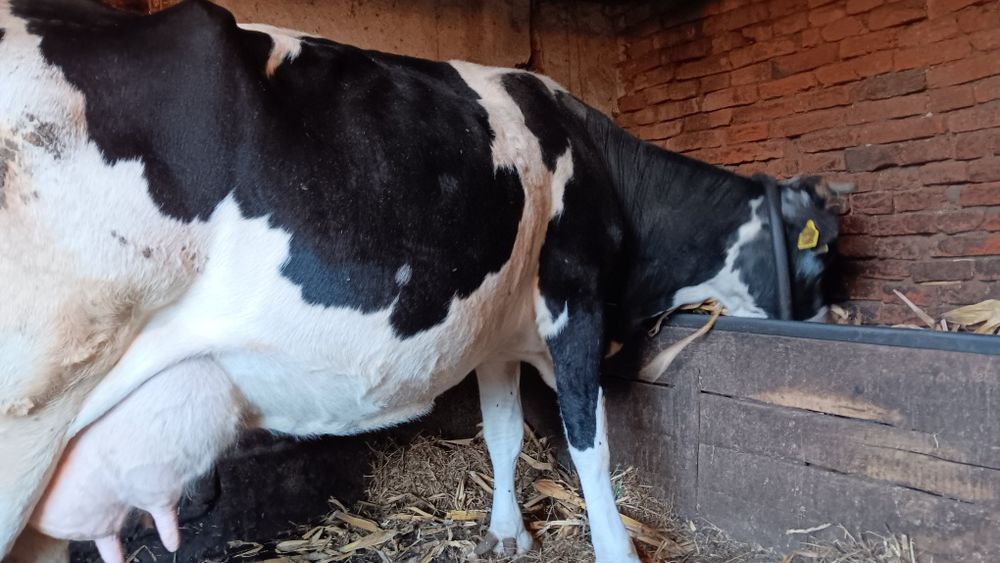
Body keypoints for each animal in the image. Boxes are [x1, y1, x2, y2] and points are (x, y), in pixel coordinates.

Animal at [0, 0, 839, 561]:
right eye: (820, 253)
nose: (834, 315)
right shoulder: (575, 301)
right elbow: (588, 441)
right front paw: (614, 548)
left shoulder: (499, 333)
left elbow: (503, 432)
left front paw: (506, 532)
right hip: (31, 410)